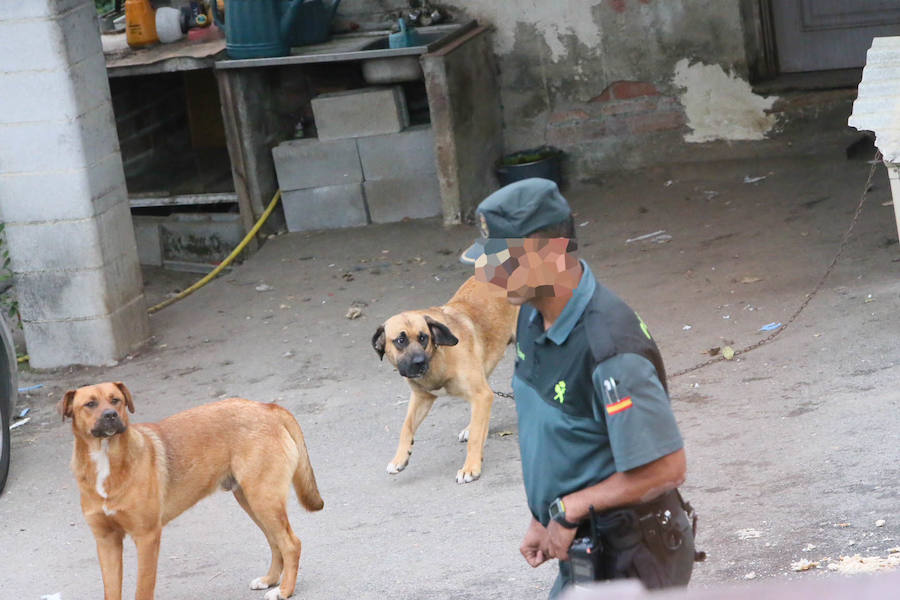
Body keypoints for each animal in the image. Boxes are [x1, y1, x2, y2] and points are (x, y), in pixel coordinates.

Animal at [59, 384, 324, 600]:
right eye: (90, 404)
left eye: (116, 400)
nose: (111, 415)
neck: (106, 459)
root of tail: (267, 407)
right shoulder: (107, 542)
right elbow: (112, 590)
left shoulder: (147, 537)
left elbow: (143, 588)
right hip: (251, 501)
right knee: (274, 541)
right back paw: (270, 580)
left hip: (263, 499)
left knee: (291, 544)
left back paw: (284, 590)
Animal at [370, 276, 512, 482]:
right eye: (400, 340)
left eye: (423, 337)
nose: (419, 363)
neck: (438, 357)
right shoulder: (422, 397)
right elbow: (406, 427)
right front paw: (399, 459)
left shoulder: (481, 394)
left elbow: (476, 438)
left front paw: (471, 467)